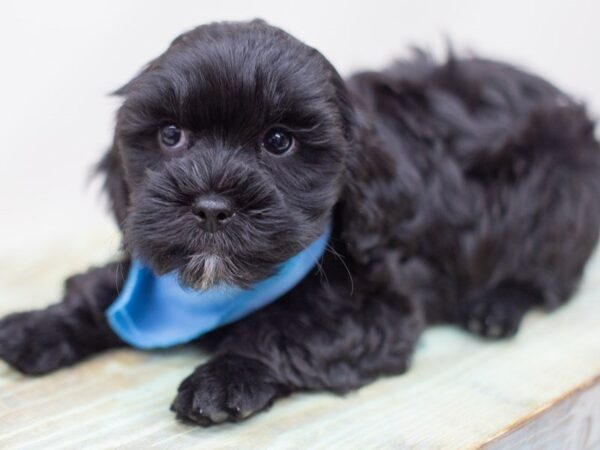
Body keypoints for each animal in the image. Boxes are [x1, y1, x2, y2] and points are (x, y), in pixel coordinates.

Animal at [1, 18, 600, 426]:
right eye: (171, 135)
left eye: (279, 141)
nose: (212, 206)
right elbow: (102, 289)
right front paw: (41, 325)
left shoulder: (379, 303)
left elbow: (292, 331)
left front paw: (224, 376)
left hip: (560, 190)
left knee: (555, 274)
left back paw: (497, 306)